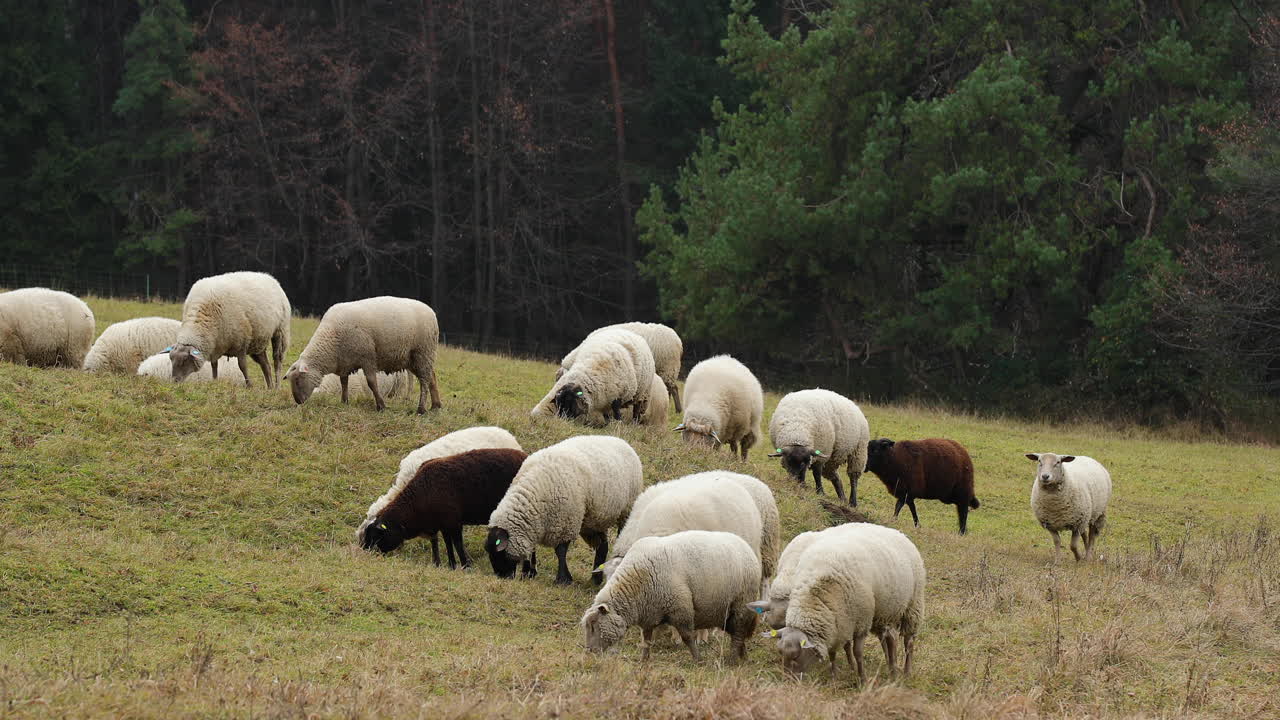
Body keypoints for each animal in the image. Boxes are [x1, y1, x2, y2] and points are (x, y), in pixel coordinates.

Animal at [284, 296, 442, 414]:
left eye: (297, 380)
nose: (298, 402)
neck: (330, 341)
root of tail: (431, 311)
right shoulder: (345, 361)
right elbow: (344, 382)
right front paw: (344, 401)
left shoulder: (368, 358)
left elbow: (371, 383)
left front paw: (381, 406)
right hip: (413, 358)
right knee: (432, 376)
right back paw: (436, 406)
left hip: (422, 352)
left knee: (424, 381)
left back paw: (421, 409)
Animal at [485, 435, 643, 585]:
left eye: (500, 554)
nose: (502, 577)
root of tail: (622, 442)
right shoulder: (537, 523)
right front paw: (529, 573)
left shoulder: (565, 522)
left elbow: (560, 551)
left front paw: (563, 579)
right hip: (594, 520)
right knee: (602, 545)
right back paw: (595, 580)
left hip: (626, 510)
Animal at [582, 530, 760, 662]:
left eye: (593, 625)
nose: (589, 651)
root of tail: (746, 546)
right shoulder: (649, 615)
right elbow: (646, 640)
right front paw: (643, 660)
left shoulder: (681, 609)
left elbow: (687, 637)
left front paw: (698, 660)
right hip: (726, 613)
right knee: (738, 633)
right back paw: (743, 658)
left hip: (741, 605)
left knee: (738, 634)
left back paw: (733, 660)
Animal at [764, 523, 925, 684]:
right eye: (781, 653)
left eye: (796, 656)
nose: (788, 681)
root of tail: (897, 532)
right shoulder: (836, 622)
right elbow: (833, 652)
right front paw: (835, 676)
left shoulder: (861, 622)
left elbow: (857, 652)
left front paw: (862, 679)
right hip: (883, 612)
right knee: (887, 639)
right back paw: (891, 666)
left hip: (912, 606)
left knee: (908, 641)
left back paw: (906, 672)